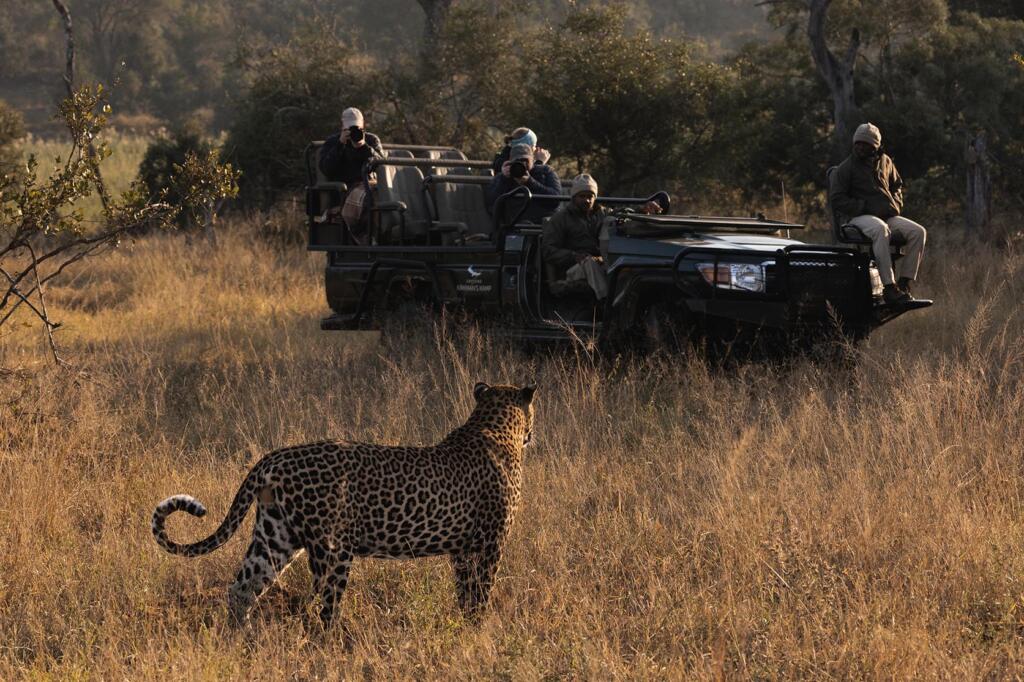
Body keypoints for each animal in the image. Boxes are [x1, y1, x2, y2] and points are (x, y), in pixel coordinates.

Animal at [151, 381, 536, 625]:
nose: (533, 433)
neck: (494, 424)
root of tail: (272, 458)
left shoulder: (461, 550)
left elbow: (465, 594)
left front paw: (467, 626)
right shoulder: (490, 543)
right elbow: (481, 592)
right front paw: (479, 630)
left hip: (275, 537)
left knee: (241, 590)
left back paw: (239, 640)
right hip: (333, 550)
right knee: (321, 609)